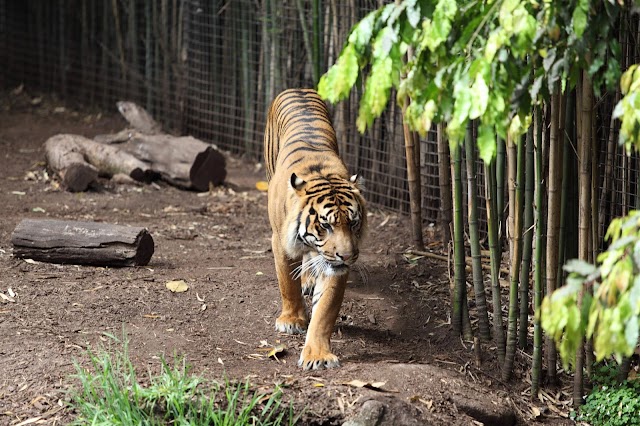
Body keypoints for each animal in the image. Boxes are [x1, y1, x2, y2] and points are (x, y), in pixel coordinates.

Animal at [264, 87, 364, 370]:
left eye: (353, 222)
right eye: (325, 225)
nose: (348, 256)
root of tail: (297, 88)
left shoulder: (335, 265)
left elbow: (326, 310)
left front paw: (317, 355)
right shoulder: (280, 243)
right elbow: (287, 283)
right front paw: (292, 321)